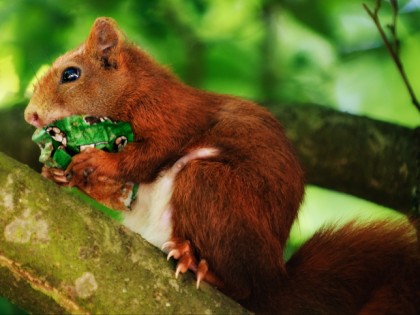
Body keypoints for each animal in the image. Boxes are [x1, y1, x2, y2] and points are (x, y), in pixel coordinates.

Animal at [24, 17, 418, 315]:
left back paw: (202, 268)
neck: (133, 91)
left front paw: (96, 159)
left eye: (71, 75)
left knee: (244, 287)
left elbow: (147, 156)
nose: (30, 115)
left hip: (210, 188)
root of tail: (275, 281)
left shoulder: (172, 115)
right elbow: (121, 193)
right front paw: (61, 173)